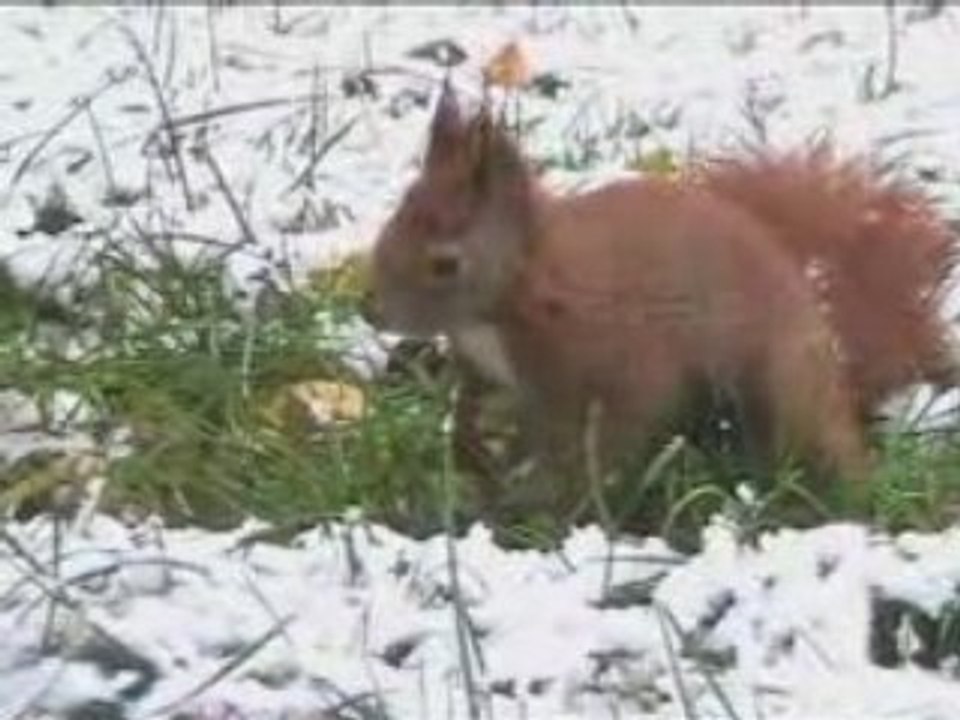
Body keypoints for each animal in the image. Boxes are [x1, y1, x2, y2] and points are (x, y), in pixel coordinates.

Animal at [368, 82, 958, 516]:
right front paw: (471, 460)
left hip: (779, 386)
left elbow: (582, 442)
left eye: (445, 264)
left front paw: (542, 499)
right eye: (396, 215)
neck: (517, 286)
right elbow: (472, 414)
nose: (369, 311)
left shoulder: (599, 363)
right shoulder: (484, 370)